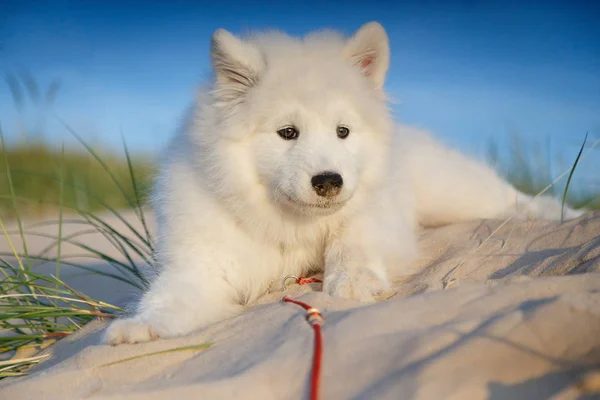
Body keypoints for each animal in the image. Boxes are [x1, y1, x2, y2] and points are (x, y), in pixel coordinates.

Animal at [105, 21, 584, 344]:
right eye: (288, 133)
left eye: (343, 132)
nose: (328, 181)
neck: (290, 222)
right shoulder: (203, 266)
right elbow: (167, 300)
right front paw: (137, 327)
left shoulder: (378, 213)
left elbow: (352, 238)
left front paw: (351, 280)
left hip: (451, 193)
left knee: (503, 196)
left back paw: (557, 213)